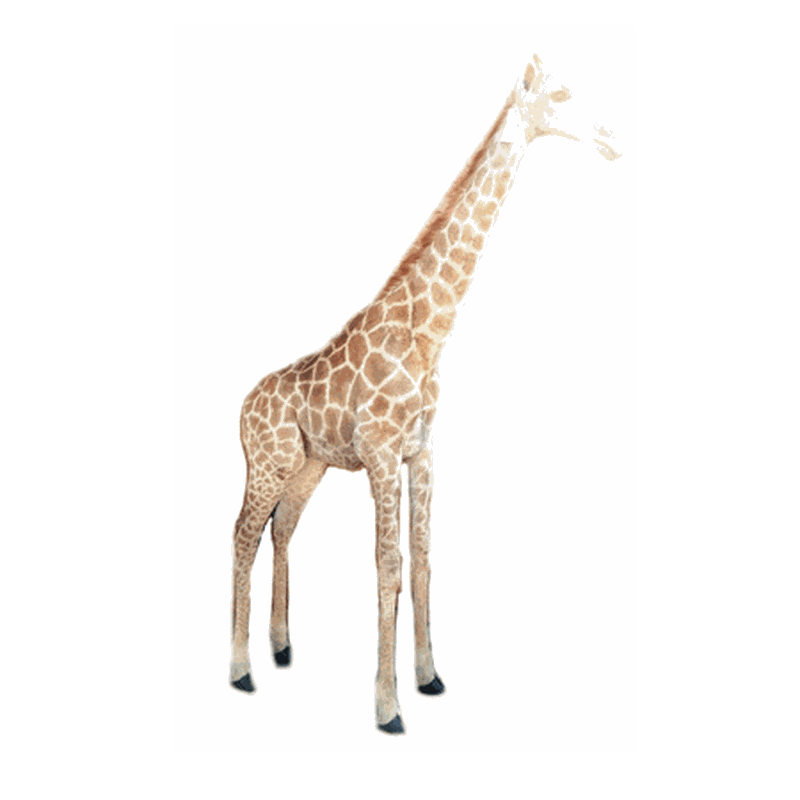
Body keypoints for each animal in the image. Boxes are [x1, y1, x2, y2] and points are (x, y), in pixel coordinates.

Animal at [230, 53, 621, 734]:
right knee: (241, 536)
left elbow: (424, 559)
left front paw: (430, 677)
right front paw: (387, 708)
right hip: (269, 461)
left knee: (281, 531)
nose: (612, 138)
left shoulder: (423, 451)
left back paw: (280, 647)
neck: (430, 331)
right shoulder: (383, 456)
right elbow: (388, 566)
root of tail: (241, 409)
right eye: (563, 94)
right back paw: (240, 670)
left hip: (307, 466)